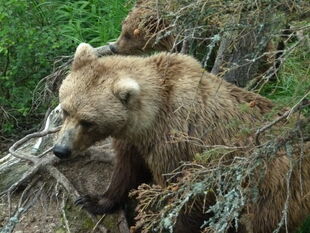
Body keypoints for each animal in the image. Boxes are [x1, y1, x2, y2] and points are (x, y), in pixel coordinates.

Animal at [53, 43, 310, 233]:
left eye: (88, 121)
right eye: (65, 110)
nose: (60, 149)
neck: (150, 118)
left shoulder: (176, 144)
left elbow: (185, 198)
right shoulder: (135, 141)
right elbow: (127, 171)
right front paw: (93, 200)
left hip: (272, 184)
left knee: (261, 221)